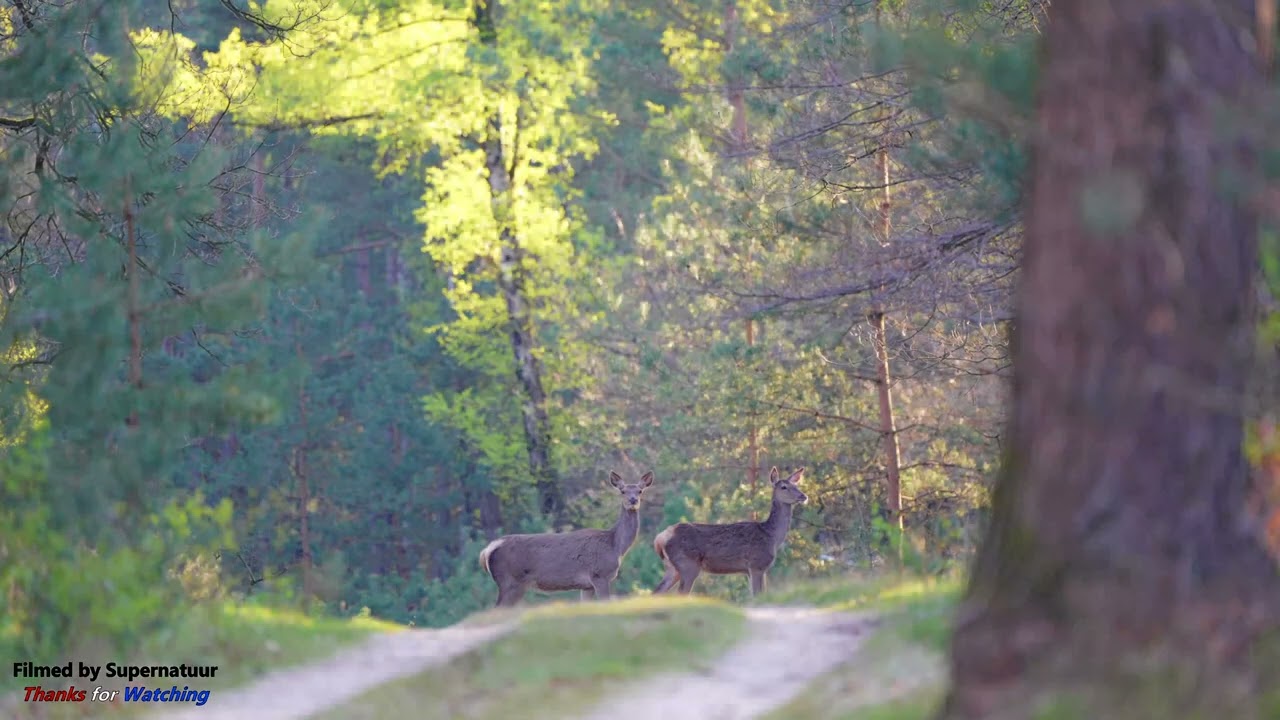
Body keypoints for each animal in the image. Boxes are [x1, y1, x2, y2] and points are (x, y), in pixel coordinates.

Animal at [478, 470, 655, 607]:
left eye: (640, 491)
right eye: (622, 491)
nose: (633, 500)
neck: (615, 545)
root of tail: (488, 549)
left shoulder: (587, 585)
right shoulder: (600, 574)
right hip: (510, 582)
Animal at [653, 466, 807, 597]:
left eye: (796, 485)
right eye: (784, 487)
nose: (803, 496)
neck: (772, 537)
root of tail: (660, 538)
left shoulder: (755, 570)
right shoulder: (757, 564)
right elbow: (757, 595)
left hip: (672, 567)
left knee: (657, 592)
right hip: (688, 564)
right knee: (680, 593)